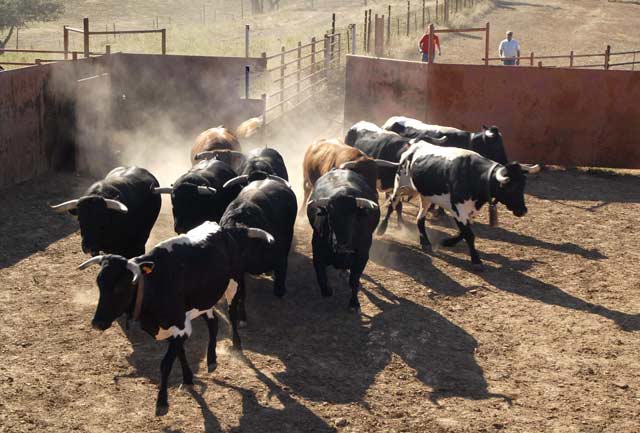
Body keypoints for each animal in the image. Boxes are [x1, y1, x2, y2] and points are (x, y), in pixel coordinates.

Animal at [77, 221, 272, 414]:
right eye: (99, 284)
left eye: (120, 287)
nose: (97, 323)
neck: (154, 285)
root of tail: (225, 228)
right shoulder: (176, 328)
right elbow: (180, 352)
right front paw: (188, 378)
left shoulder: (180, 326)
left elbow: (166, 364)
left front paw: (162, 402)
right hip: (204, 299)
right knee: (213, 323)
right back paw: (211, 360)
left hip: (233, 285)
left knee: (231, 315)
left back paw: (237, 345)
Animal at [220, 170, 298, 326]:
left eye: (241, 249)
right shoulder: (239, 273)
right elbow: (241, 294)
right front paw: (242, 318)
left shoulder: (281, 261)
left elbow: (279, 289)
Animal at [306, 169, 380, 310]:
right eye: (330, 216)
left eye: (353, 217)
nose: (342, 244)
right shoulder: (317, 255)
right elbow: (321, 279)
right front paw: (328, 290)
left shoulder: (362, 258)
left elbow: (354, 281)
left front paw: (354, 303)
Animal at [378, 142, 536, 268]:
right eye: (510, 187)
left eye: (523, 185)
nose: (523, 210)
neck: (475, 176)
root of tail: (413, 147)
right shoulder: (458, 210)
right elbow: (469, 234)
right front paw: (476, 260)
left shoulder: (467, 211)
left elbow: (464, 232)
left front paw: (448, 242)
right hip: (400, 186)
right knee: (392, 205)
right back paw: (381, 228)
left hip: (425, 196)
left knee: (420, 218)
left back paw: (425, 241)